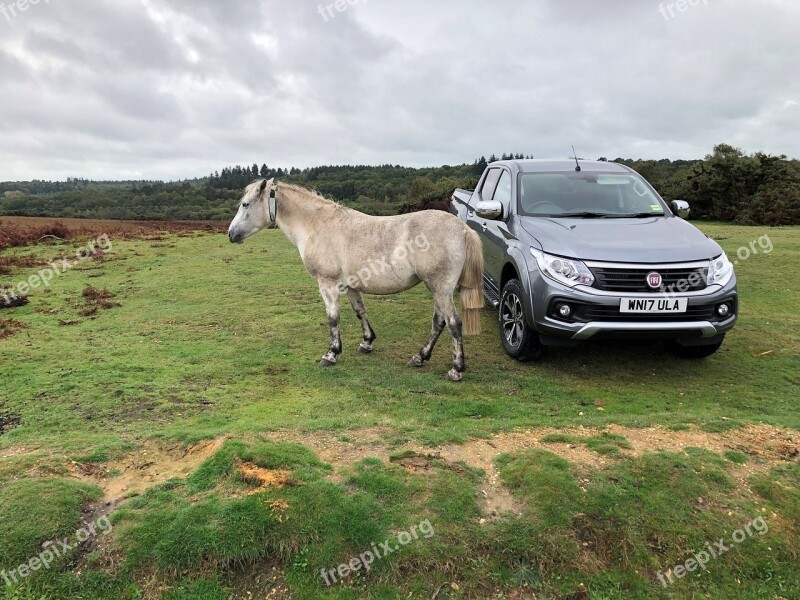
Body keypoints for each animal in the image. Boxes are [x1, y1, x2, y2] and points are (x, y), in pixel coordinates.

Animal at [228, 180, 484, 382]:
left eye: (245, 204)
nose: (231, 234)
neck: (318, 225)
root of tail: (463, 229)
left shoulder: (328, 284)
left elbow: (333, 318)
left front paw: (331, 354)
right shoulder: (350, 285)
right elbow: (360, 312)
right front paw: (367, 343)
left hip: (440, 289)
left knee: (453, 323)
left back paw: (456, 369)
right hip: (440, 290)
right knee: (439, 323)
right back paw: (419, 357)